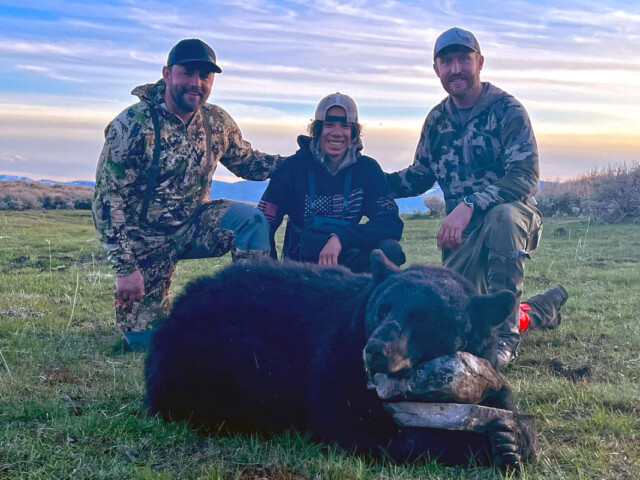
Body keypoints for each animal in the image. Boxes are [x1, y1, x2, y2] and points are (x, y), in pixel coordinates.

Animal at [145, 251, 536, 468]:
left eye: (426, 320)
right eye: (383, 309)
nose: (376, 350)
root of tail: (169, 319)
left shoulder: (483, 361)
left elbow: (497, 399)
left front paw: (511, 437)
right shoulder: (336, 357)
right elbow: (346, 422)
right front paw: (479, 445)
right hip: (213, 352)